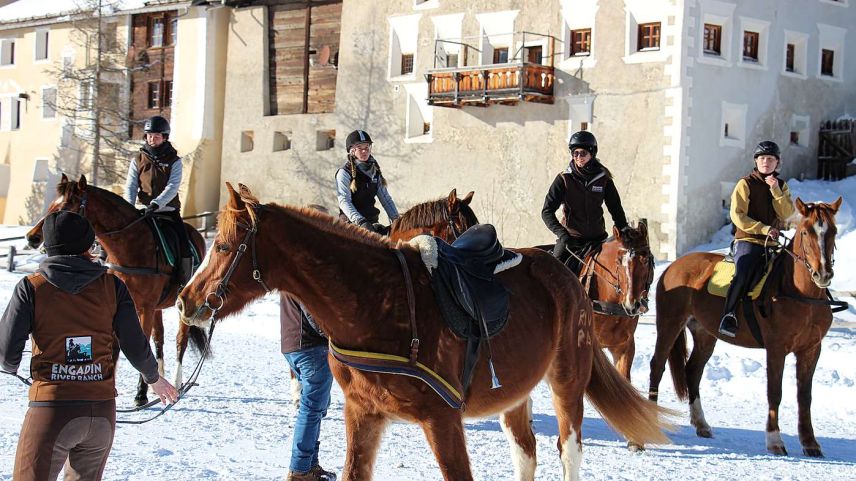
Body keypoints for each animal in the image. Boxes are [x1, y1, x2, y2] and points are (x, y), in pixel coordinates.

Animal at [26, 174, 207, 404]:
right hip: (158, 308)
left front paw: (140, 393)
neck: (132, 246)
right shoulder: (122, 305)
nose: (32, 237)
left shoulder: (144, 308)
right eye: (51, 205)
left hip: (182, 307)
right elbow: (117, 347)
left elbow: (141, 343)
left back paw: (176, 383)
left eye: (66, 207)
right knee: (159, 339)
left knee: (180, 341)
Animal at [179, 183, 676, 480]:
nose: (186, 300)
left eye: (224, 246)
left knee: (568, 450)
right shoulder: (363, 414)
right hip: (516, 392)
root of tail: (566, 273)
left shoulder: (442, 419)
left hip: (568, 380)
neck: (378, 302)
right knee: (526, 451)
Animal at [648, 197, 844, 456]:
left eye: (833, 231)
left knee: (693, 371)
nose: (823, 274)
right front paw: (775, 440)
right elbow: (775, 392)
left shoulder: (811, 349)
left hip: (705, 334)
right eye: (805, 231)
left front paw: (810, 443)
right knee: (657, 366)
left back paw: (701, 424)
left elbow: (805, 396)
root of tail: (674, 266)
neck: (800, 293)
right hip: (669, 324)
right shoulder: (776, 349)